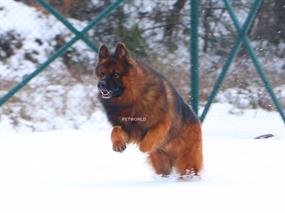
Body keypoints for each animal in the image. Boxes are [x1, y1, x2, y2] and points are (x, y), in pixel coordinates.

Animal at [95, 42, 202, 176]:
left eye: (116, 74)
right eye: (102, 74)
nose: (101, 85)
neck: (131, 99)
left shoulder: (163, 123)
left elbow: (148, 139)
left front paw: (143, 146)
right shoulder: (127, 128)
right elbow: (115, 130)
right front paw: (117, 144)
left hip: (187, 161)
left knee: (188, 170)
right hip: (162, 164)